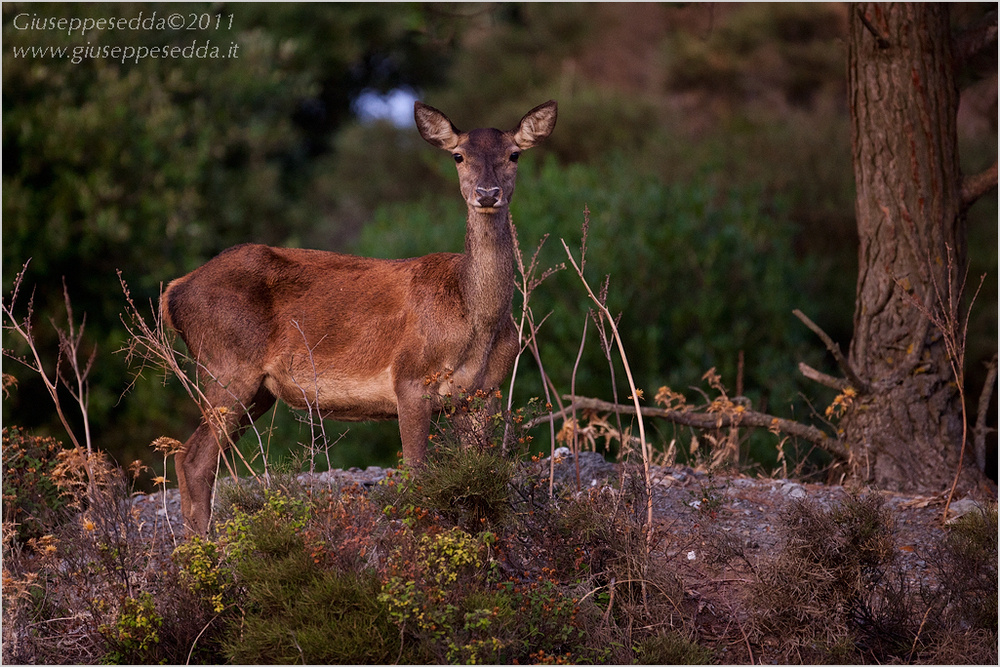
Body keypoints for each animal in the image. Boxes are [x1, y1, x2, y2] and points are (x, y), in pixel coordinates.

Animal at [160, 99, 560, 536]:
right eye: (458, 155)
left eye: (514, 154)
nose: (487, 194)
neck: (474, 319)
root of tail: (174, 291)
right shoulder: (409, 377)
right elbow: (418, 473)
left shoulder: (483, 393)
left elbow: (480, 476)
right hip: (226, 367)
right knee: (191, 459)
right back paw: (205, 547)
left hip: (256, 389)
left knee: (198, 458)